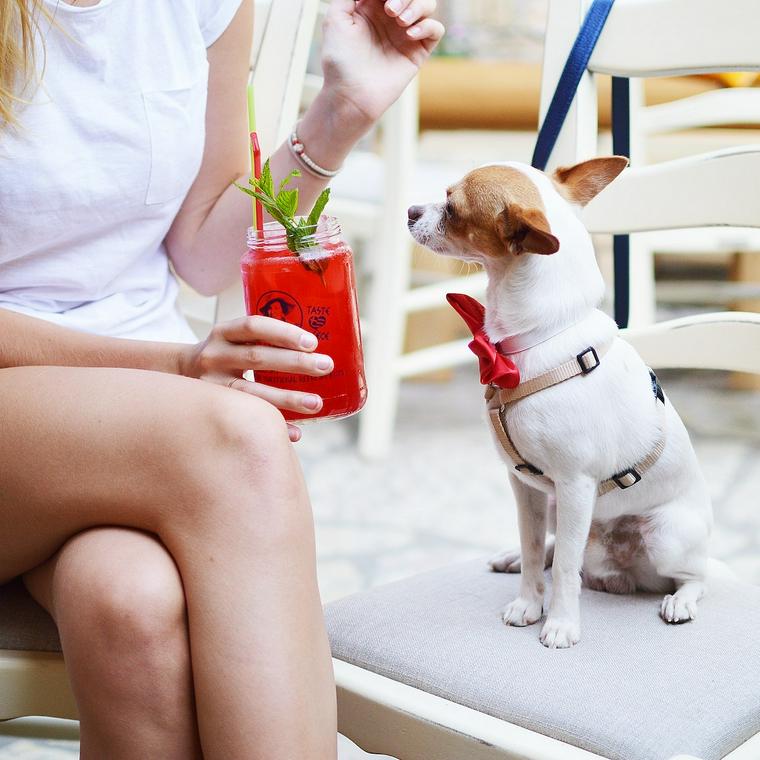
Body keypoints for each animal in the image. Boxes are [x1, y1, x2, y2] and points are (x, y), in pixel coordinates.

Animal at [410, 159, 712, 648]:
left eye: (452, 206)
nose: (410, 211)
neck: (538, 339)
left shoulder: (574, 486)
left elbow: (568, 568)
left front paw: (561, 623)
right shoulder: (528, 487)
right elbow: (536, 550)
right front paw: (529, 603)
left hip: (665, 537)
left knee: (695, 576)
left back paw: (680, 600)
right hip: (556, 508)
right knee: (555, 548)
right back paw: (514, 557)